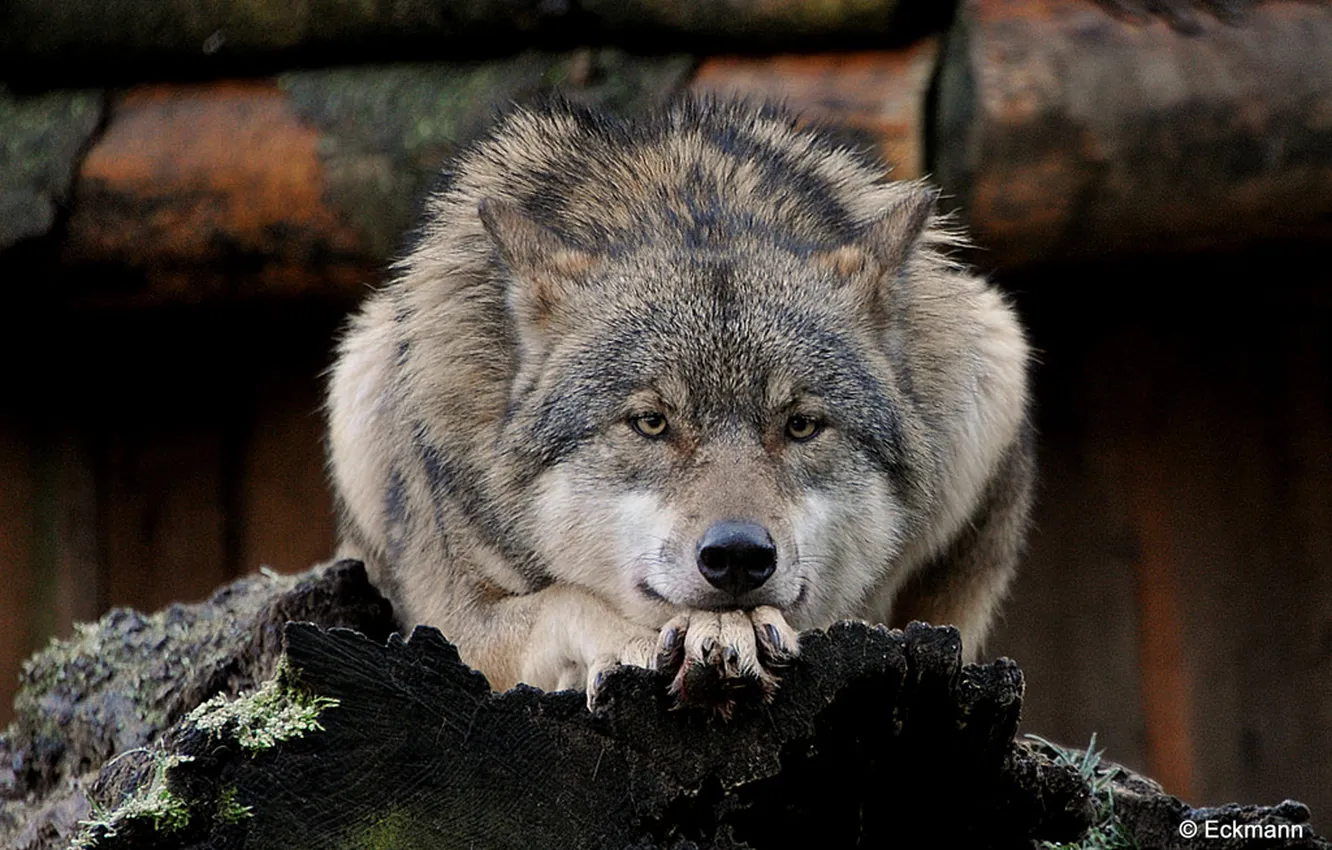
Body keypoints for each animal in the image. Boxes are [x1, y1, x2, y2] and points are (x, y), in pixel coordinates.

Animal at [326, 98, 1033, 713]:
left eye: (801, 425)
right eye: (651, 423)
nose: (739, 555)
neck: (690, 205)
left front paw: (728, 635)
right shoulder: (447, 626)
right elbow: (568, 601)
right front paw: (643, 642)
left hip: (994, 343)